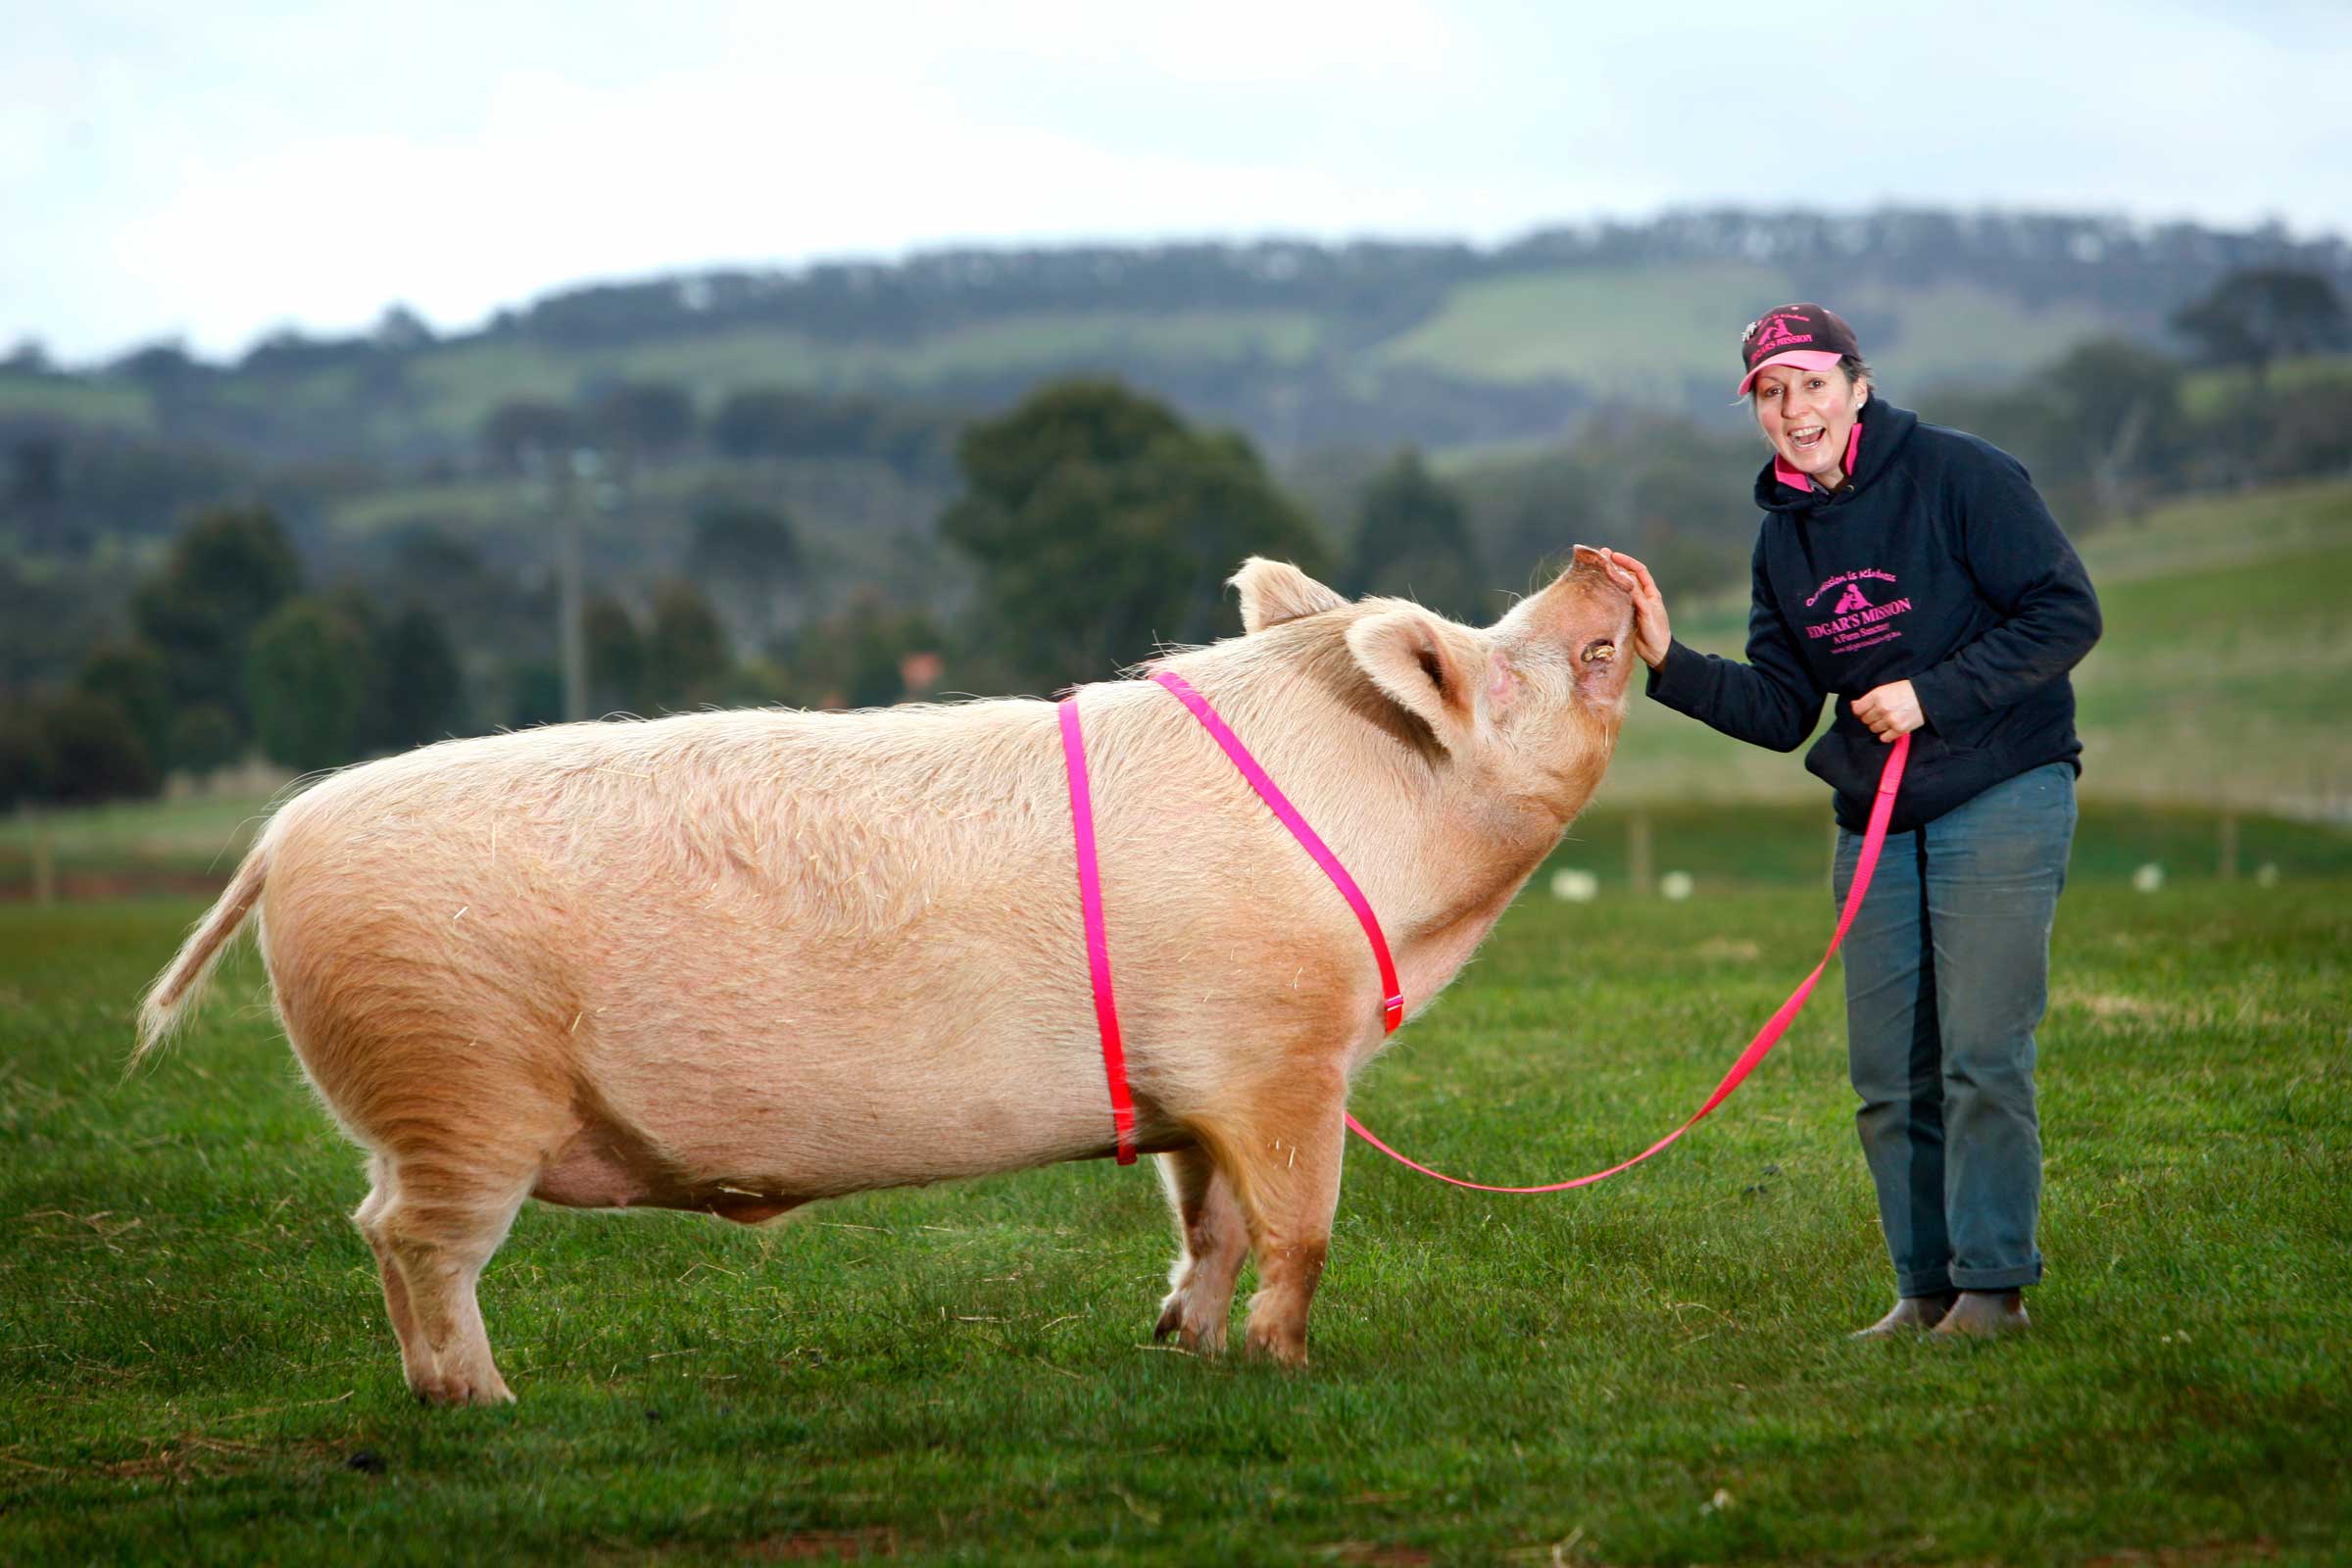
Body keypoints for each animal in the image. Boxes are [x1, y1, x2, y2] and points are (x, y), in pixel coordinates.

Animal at [133, 545, 1637, 1400]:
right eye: (1515, 655)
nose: (1597, 559)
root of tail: (276, 839)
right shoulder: (1283, 1059)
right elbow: (1301, 1229)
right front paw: (1287, 1369)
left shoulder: (1202, 1085)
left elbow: (1205, 1225)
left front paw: (1186, 1350)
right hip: (455, 1083)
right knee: (412, 1242)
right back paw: (484, 1407)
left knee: (377, 1229)